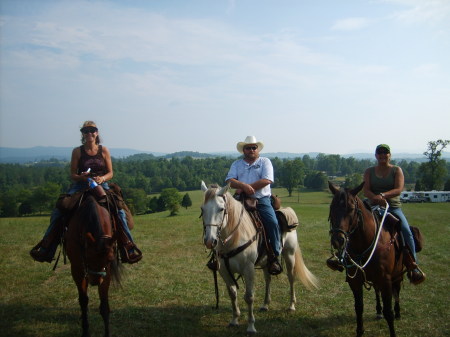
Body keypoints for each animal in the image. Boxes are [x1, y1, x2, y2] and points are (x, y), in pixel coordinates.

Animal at [64, 192, 121, 336]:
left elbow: (104, 305)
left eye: (109, 259)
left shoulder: (107, 272)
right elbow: (83, 301)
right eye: (88, 257)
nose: (95, 281)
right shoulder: (78, 269)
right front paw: (85, 330)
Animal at [200, 181, 316, 334]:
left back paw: (291, 305)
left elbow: (249, 297)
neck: (233, 238)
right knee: (268, 279)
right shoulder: (224, 270)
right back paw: (265, 304)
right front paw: (234, 320)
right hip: (267, 261)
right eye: (202, 209)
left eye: (221, 209)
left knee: (291, 278)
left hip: (289, 254)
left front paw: (250, 326)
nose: (209, 241)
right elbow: (232, 293)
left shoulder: (248, 269)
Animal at [326, 181, 404, 336]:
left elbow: (389, 312)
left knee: (396, 292)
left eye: (351, 209)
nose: (338, 240)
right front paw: (360, 331)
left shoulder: (386, 280)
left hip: (397, 275)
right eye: (332, 208)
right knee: (377, 291)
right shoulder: (355, 281)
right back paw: (378, 311)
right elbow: (359, 307)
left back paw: (398, 312)